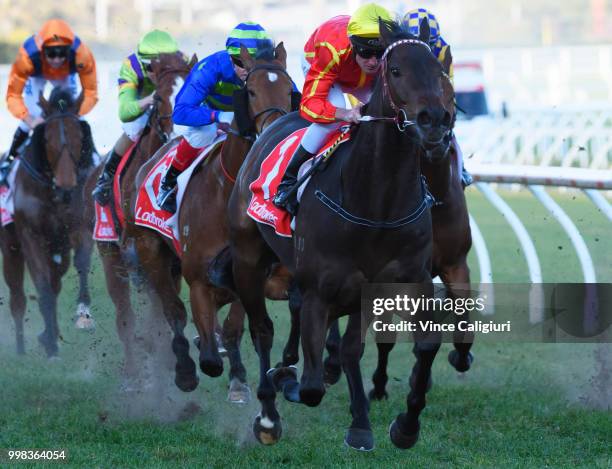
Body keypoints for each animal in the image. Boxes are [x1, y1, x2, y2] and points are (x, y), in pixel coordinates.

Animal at [11, 88, 95, 356]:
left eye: (80, 136)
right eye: (47, 139)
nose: (67, 187)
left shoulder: (79, 226)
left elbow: (81, 263)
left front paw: (83, 314)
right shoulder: (30, 236)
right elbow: (42, 285)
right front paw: (50, 346)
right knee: (19, 295)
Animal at [82, 52, 195, 376]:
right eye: (158, 97)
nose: (179, 135)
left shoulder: (171, 258)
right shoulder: (139, 246)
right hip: (108, 254)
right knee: (124, 319)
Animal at [132, 44, 298, 396]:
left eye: (289, 89)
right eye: (251, 91)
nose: (275, 133)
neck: (227, 193)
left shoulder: (253, 273)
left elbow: (236, 322)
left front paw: (241, 378)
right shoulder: (197, 278)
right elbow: (208, 357)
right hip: (149, 248)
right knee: (173, 310)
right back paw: (183, 367)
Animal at [218, 19, 452, 450]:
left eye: (438, 72)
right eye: (396, 71)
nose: (434, 121)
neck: (377, 204)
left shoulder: (405, 280)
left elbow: (420, 345)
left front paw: (402, 425)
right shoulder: (320, 289)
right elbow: (310, 386)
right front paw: (288, 379)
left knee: (341, 346)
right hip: (247, 260)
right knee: (262, 330)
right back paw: (269, 411)